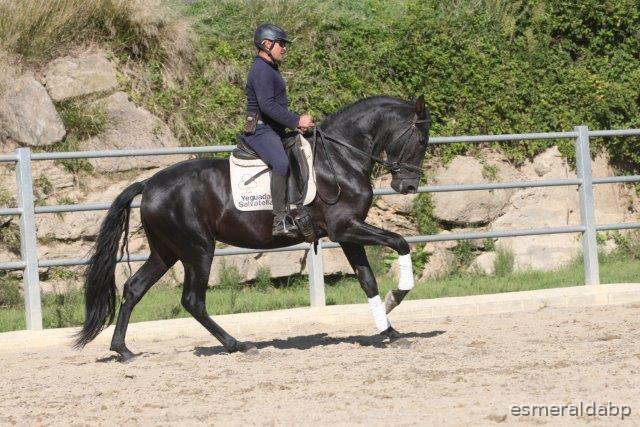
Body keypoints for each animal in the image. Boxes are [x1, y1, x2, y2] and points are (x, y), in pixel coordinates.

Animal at [74, 95, 431, 361]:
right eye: (420, 139)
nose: (409, 186)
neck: (340, 158)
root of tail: (149, 184)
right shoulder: (345, 228)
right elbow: (400, 242)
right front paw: (397, 296)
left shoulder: (347, 234)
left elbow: (367, 281)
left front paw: (389, 329)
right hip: (198, 251)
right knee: (192, 300)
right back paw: (238, 345)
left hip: (166, 252)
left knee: (134, 288)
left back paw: (122, 350)